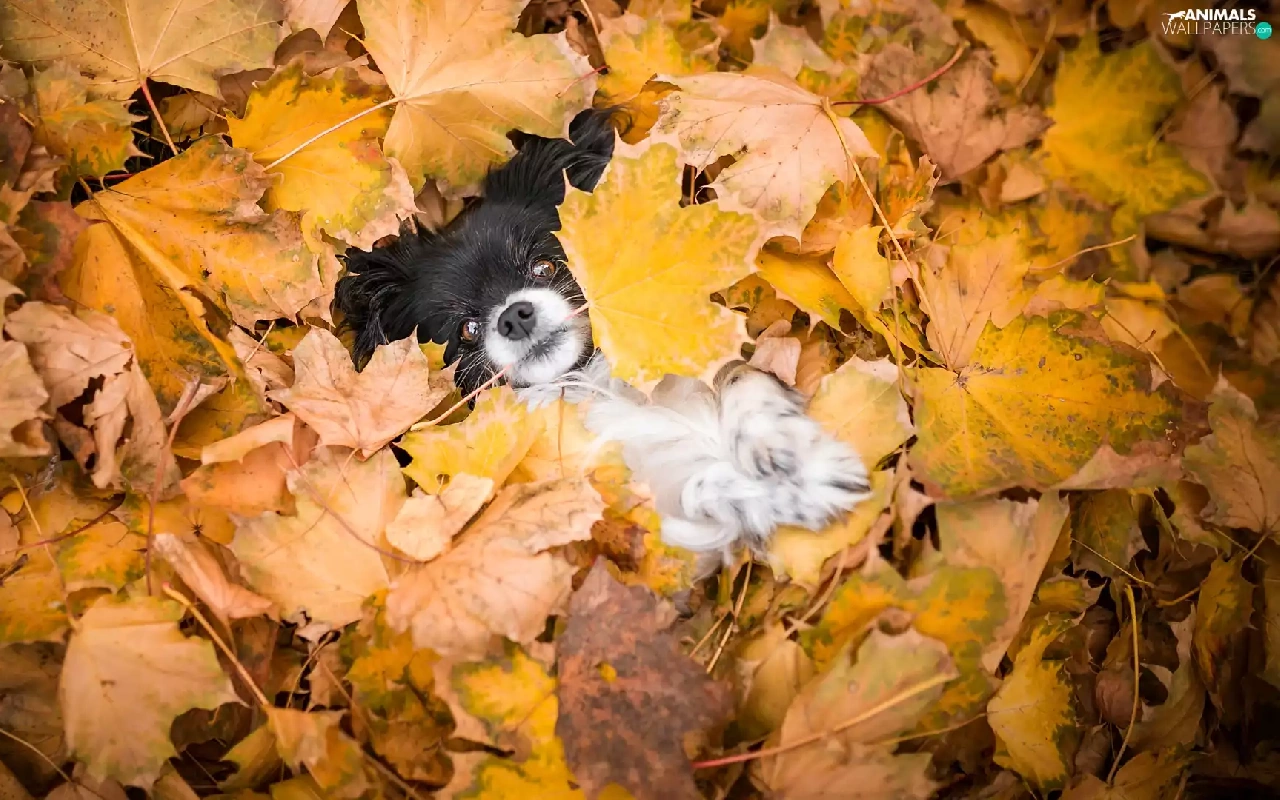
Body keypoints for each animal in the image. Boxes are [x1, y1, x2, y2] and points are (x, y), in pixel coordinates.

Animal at [335, 109, 872, 555]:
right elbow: (697, 481)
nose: (514, 314)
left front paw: (784, 451)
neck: (588, 379)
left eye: (547, 266)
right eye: (466, 329)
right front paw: (800, 490)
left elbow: (745, 377)